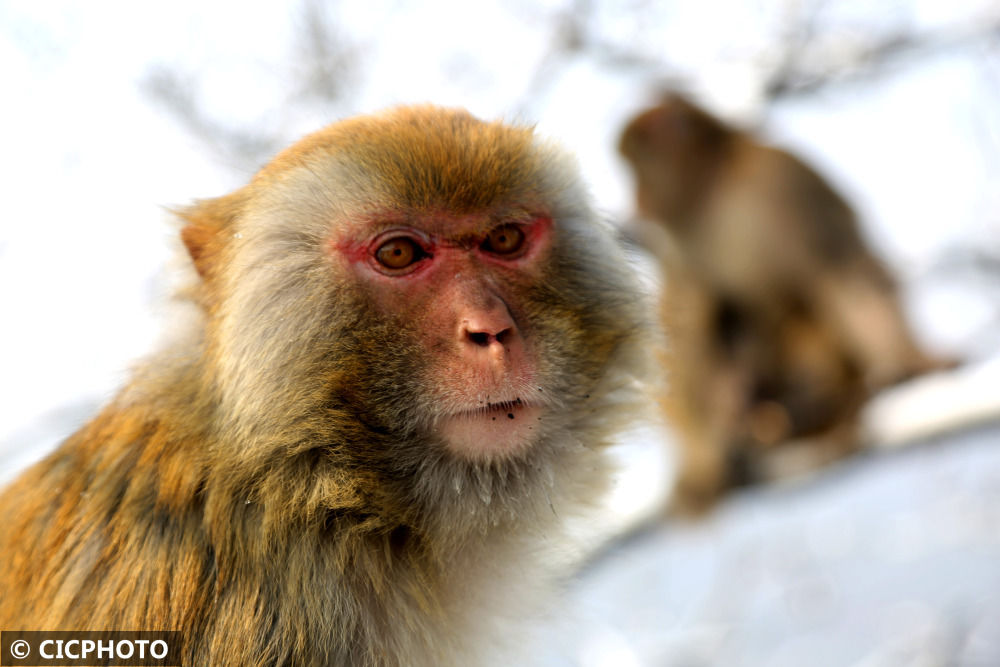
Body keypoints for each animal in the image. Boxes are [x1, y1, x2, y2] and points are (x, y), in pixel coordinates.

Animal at [616, 91, 952, 516]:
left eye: (638, 169)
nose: (637, 198)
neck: (715, 190)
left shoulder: (786, 182)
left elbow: (842, 269)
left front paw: (917, 360)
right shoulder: (680, 238)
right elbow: (686, 315)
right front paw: (705, 455)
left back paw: (823, 411)